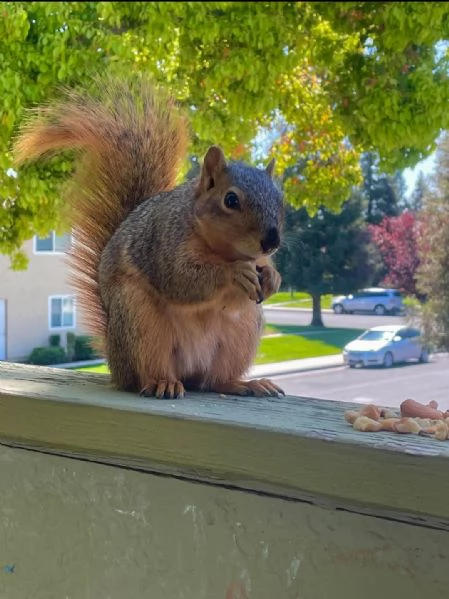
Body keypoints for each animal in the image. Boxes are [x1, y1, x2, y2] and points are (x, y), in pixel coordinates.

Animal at [15, 77, 286, 400]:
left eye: (281, 199)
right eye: (230, 200)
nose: (272, 241)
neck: (221, 248)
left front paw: (273, 277)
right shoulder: (162, 244)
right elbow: (182, 278)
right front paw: (233, 273)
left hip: (242, 330)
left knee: (213, 381)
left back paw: (243, 384)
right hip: (139, 320)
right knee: (148, 372)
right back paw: (162, 383)